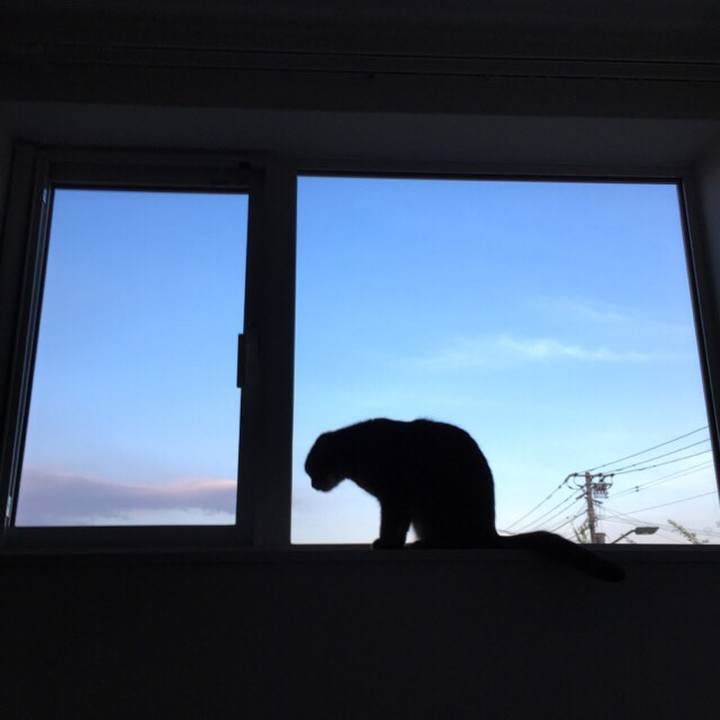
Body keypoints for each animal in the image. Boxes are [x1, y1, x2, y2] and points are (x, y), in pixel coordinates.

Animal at [305, 418, 625, 582]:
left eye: (311, 471)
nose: (311, 485)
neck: (358, 450)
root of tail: (489, 533)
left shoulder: (397, 497)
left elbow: (392, 527)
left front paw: (386, 544)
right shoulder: (396, 499)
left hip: (433, 502)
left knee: (451, 541)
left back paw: (423, 545)